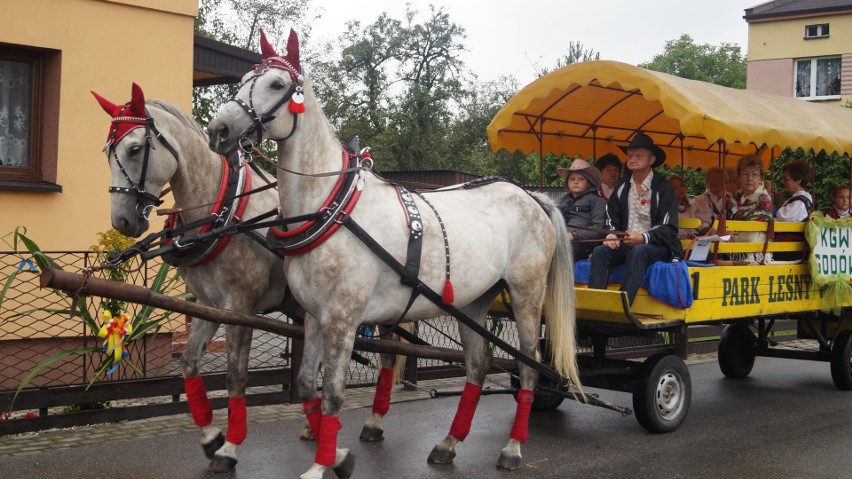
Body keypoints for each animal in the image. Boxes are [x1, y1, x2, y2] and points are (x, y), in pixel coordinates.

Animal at [92, 85, 286, 472]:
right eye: (107, 153)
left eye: (134, 149)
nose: (121, 222)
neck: (225, 210)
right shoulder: (210, 305)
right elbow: (189, 363)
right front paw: (211, 437)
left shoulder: (241, 309)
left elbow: (235, 377)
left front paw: (229, 449)